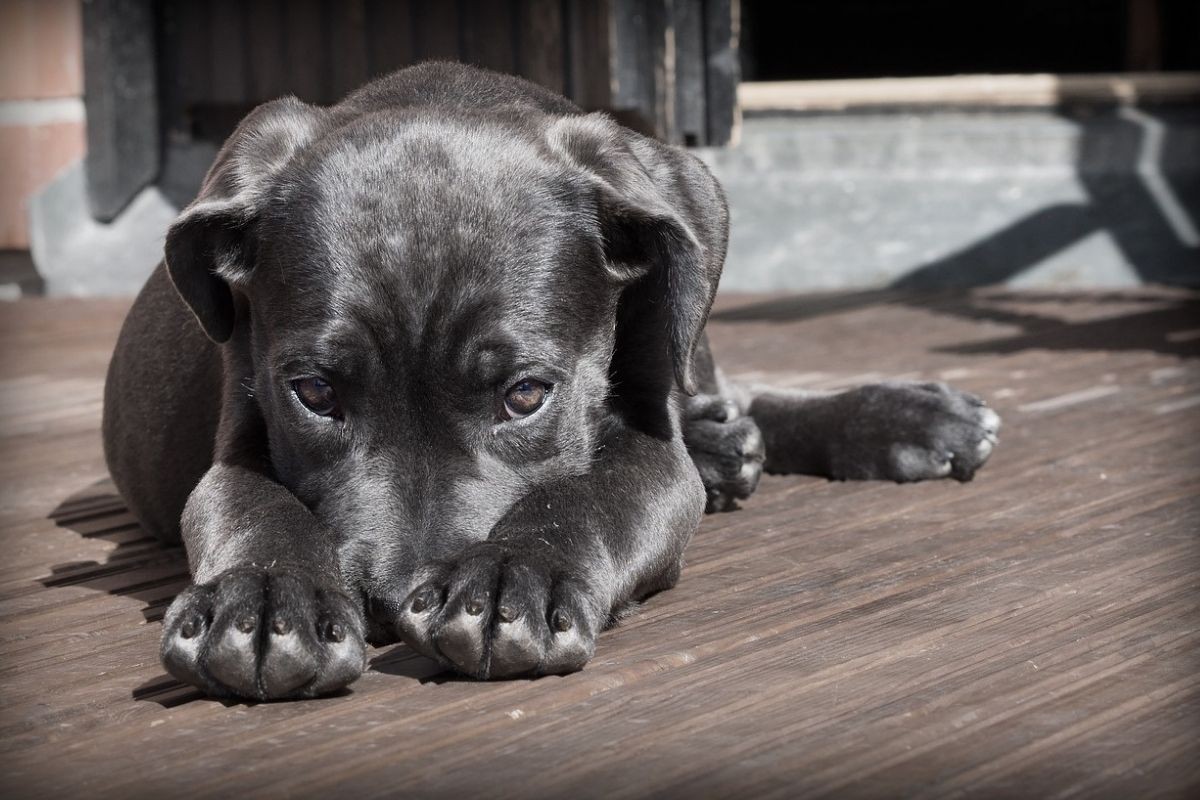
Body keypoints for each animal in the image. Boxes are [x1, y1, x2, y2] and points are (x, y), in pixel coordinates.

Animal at [105, 62, 1003, 700]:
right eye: (315, 395)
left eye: (526, 395)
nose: (393, 604)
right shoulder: (239, 432)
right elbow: (252, 506)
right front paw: (262, 600)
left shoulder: (650, 448)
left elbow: (590, 494)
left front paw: (515, 576)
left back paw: (900, 419)